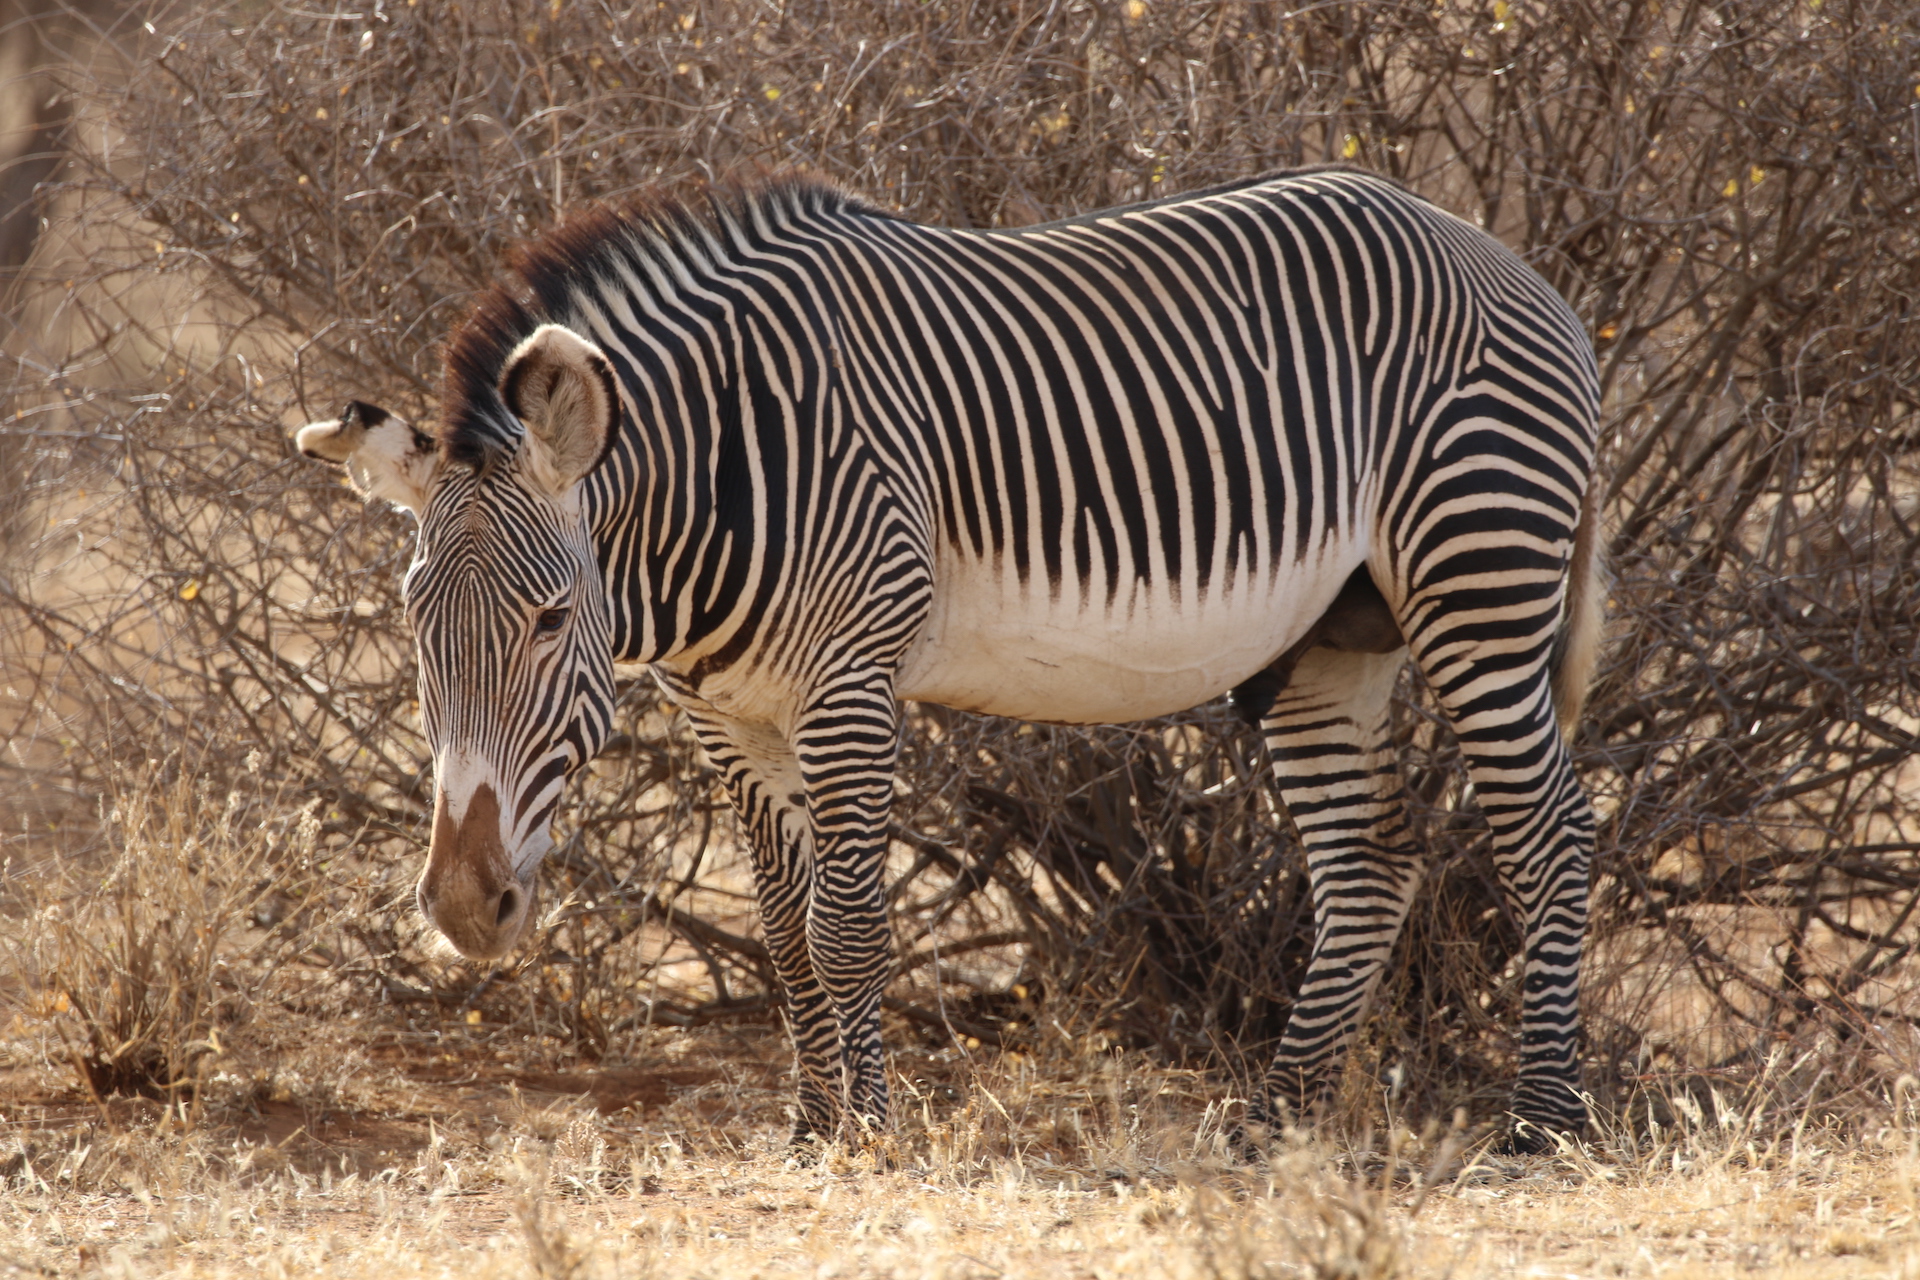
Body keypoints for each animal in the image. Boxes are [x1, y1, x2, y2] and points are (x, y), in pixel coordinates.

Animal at [295, 165, 1605, 1159]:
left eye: (553, 620)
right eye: (417, 624)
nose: (463, 907)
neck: (720, 479)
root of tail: (1497, 252)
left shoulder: (850, 684)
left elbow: (847, 926)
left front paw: (871, 1131)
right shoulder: (735, 719)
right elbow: (785, 931)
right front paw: (812, 1126)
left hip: (1477, 574)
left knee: (1550, 834)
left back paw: (1540, 1126)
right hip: (1328, 636)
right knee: (1370, 862)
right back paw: (1271, 1120)